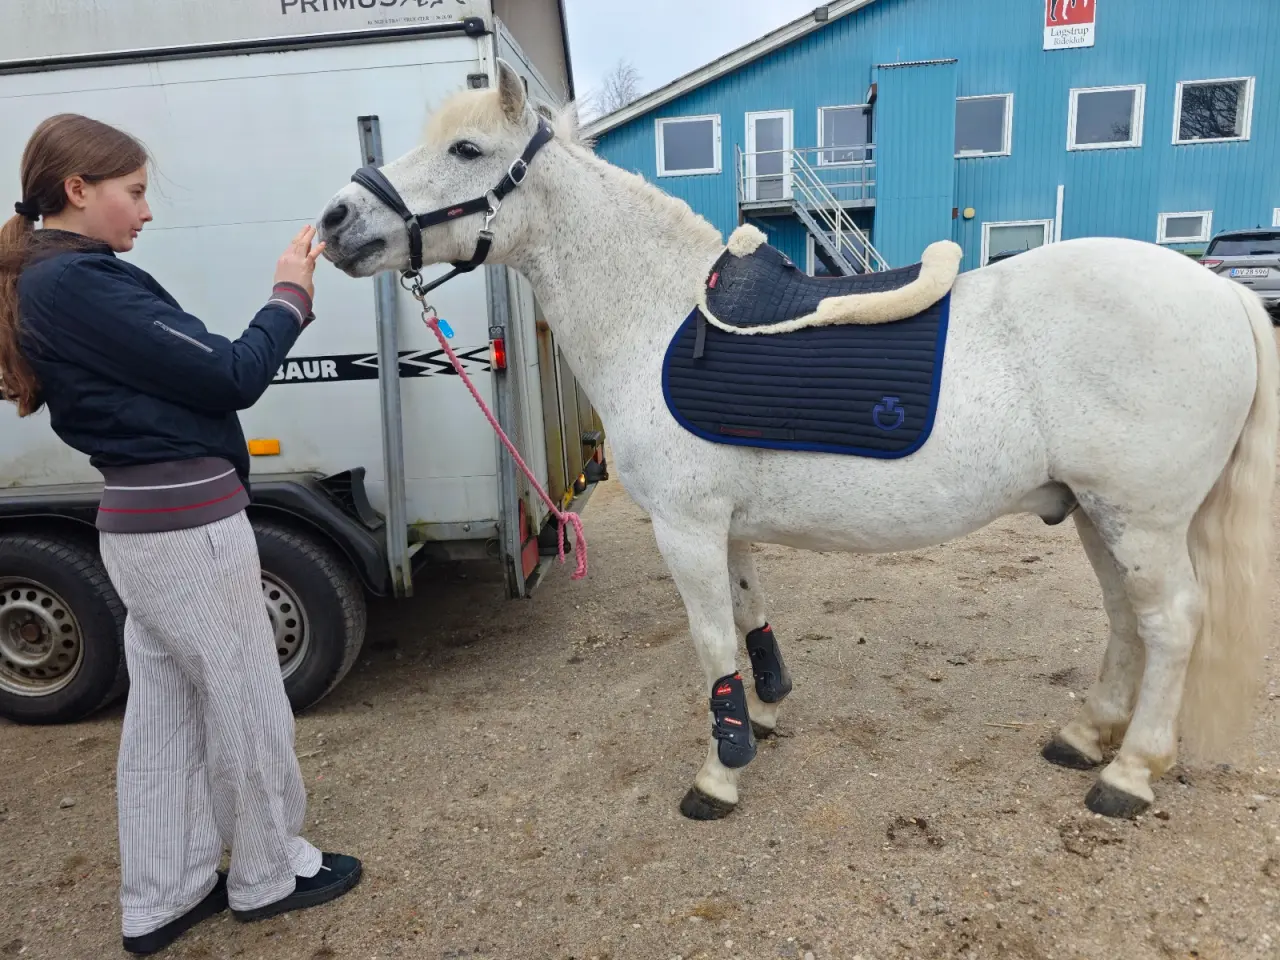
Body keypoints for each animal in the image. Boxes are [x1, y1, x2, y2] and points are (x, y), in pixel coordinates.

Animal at [317, 60, 1278, 822]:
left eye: (467, 151)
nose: (335, 221)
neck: (653, 314)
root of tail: (1224, 293)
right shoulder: (726, 528)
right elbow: (749, 618)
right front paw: (764, 714)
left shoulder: (686, 529)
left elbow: (711, 643)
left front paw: (720, 771)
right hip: (1095, 513)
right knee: (1126, 620)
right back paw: (1086, 735)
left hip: (1141, 519)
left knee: (1172, 624)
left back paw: (1129, 773)